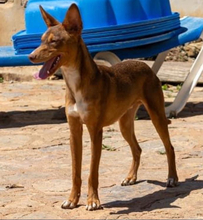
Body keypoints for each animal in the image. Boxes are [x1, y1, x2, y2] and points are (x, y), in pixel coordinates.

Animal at [28, 3, 178, 211]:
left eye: (54, 41)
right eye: (41, 40)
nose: (30, 56)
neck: (76, 84)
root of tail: (145, 65)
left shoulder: (95, 131)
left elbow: (92, 171)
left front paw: (93, 201)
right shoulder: (74, 132)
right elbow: (75, 172)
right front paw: (72, 199)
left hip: (156, 116)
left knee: (169, 147)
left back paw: (172, 178)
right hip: (125, 124)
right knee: (137, 149)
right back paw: (131, 177)